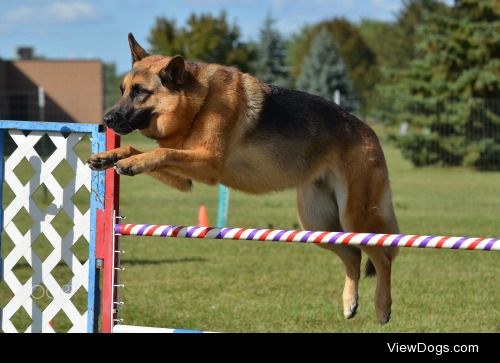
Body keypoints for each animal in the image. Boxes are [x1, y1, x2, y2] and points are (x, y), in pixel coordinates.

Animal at [86, 33, 398, 324]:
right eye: (123, 90)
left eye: (140, 91)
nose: (107, 119)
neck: (199, 103)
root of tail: (369, 132)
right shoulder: (185, 176)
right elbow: (141, 148)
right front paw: (111, 157)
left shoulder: (207, 163)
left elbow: (161, 151)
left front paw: (132, 162)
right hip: (317, 223)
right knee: (353, 255)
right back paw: (350, 303)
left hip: (355, 217)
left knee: (383, 256)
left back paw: (382, 307)